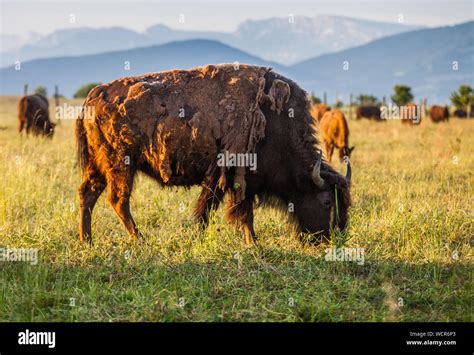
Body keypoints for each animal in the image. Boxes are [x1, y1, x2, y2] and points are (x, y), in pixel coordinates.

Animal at [76, 64, 352, 245]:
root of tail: (92, 97)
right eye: (327, 201)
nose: (334, 238)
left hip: (99, 166)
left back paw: (87, 240)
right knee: (118, 200)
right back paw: (140, 240)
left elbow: (211, 208)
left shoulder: (224, 178)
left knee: (88, 194)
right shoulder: (237, 178)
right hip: (121, 165)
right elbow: (237, 211)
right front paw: (252, 243)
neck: (278, 123)